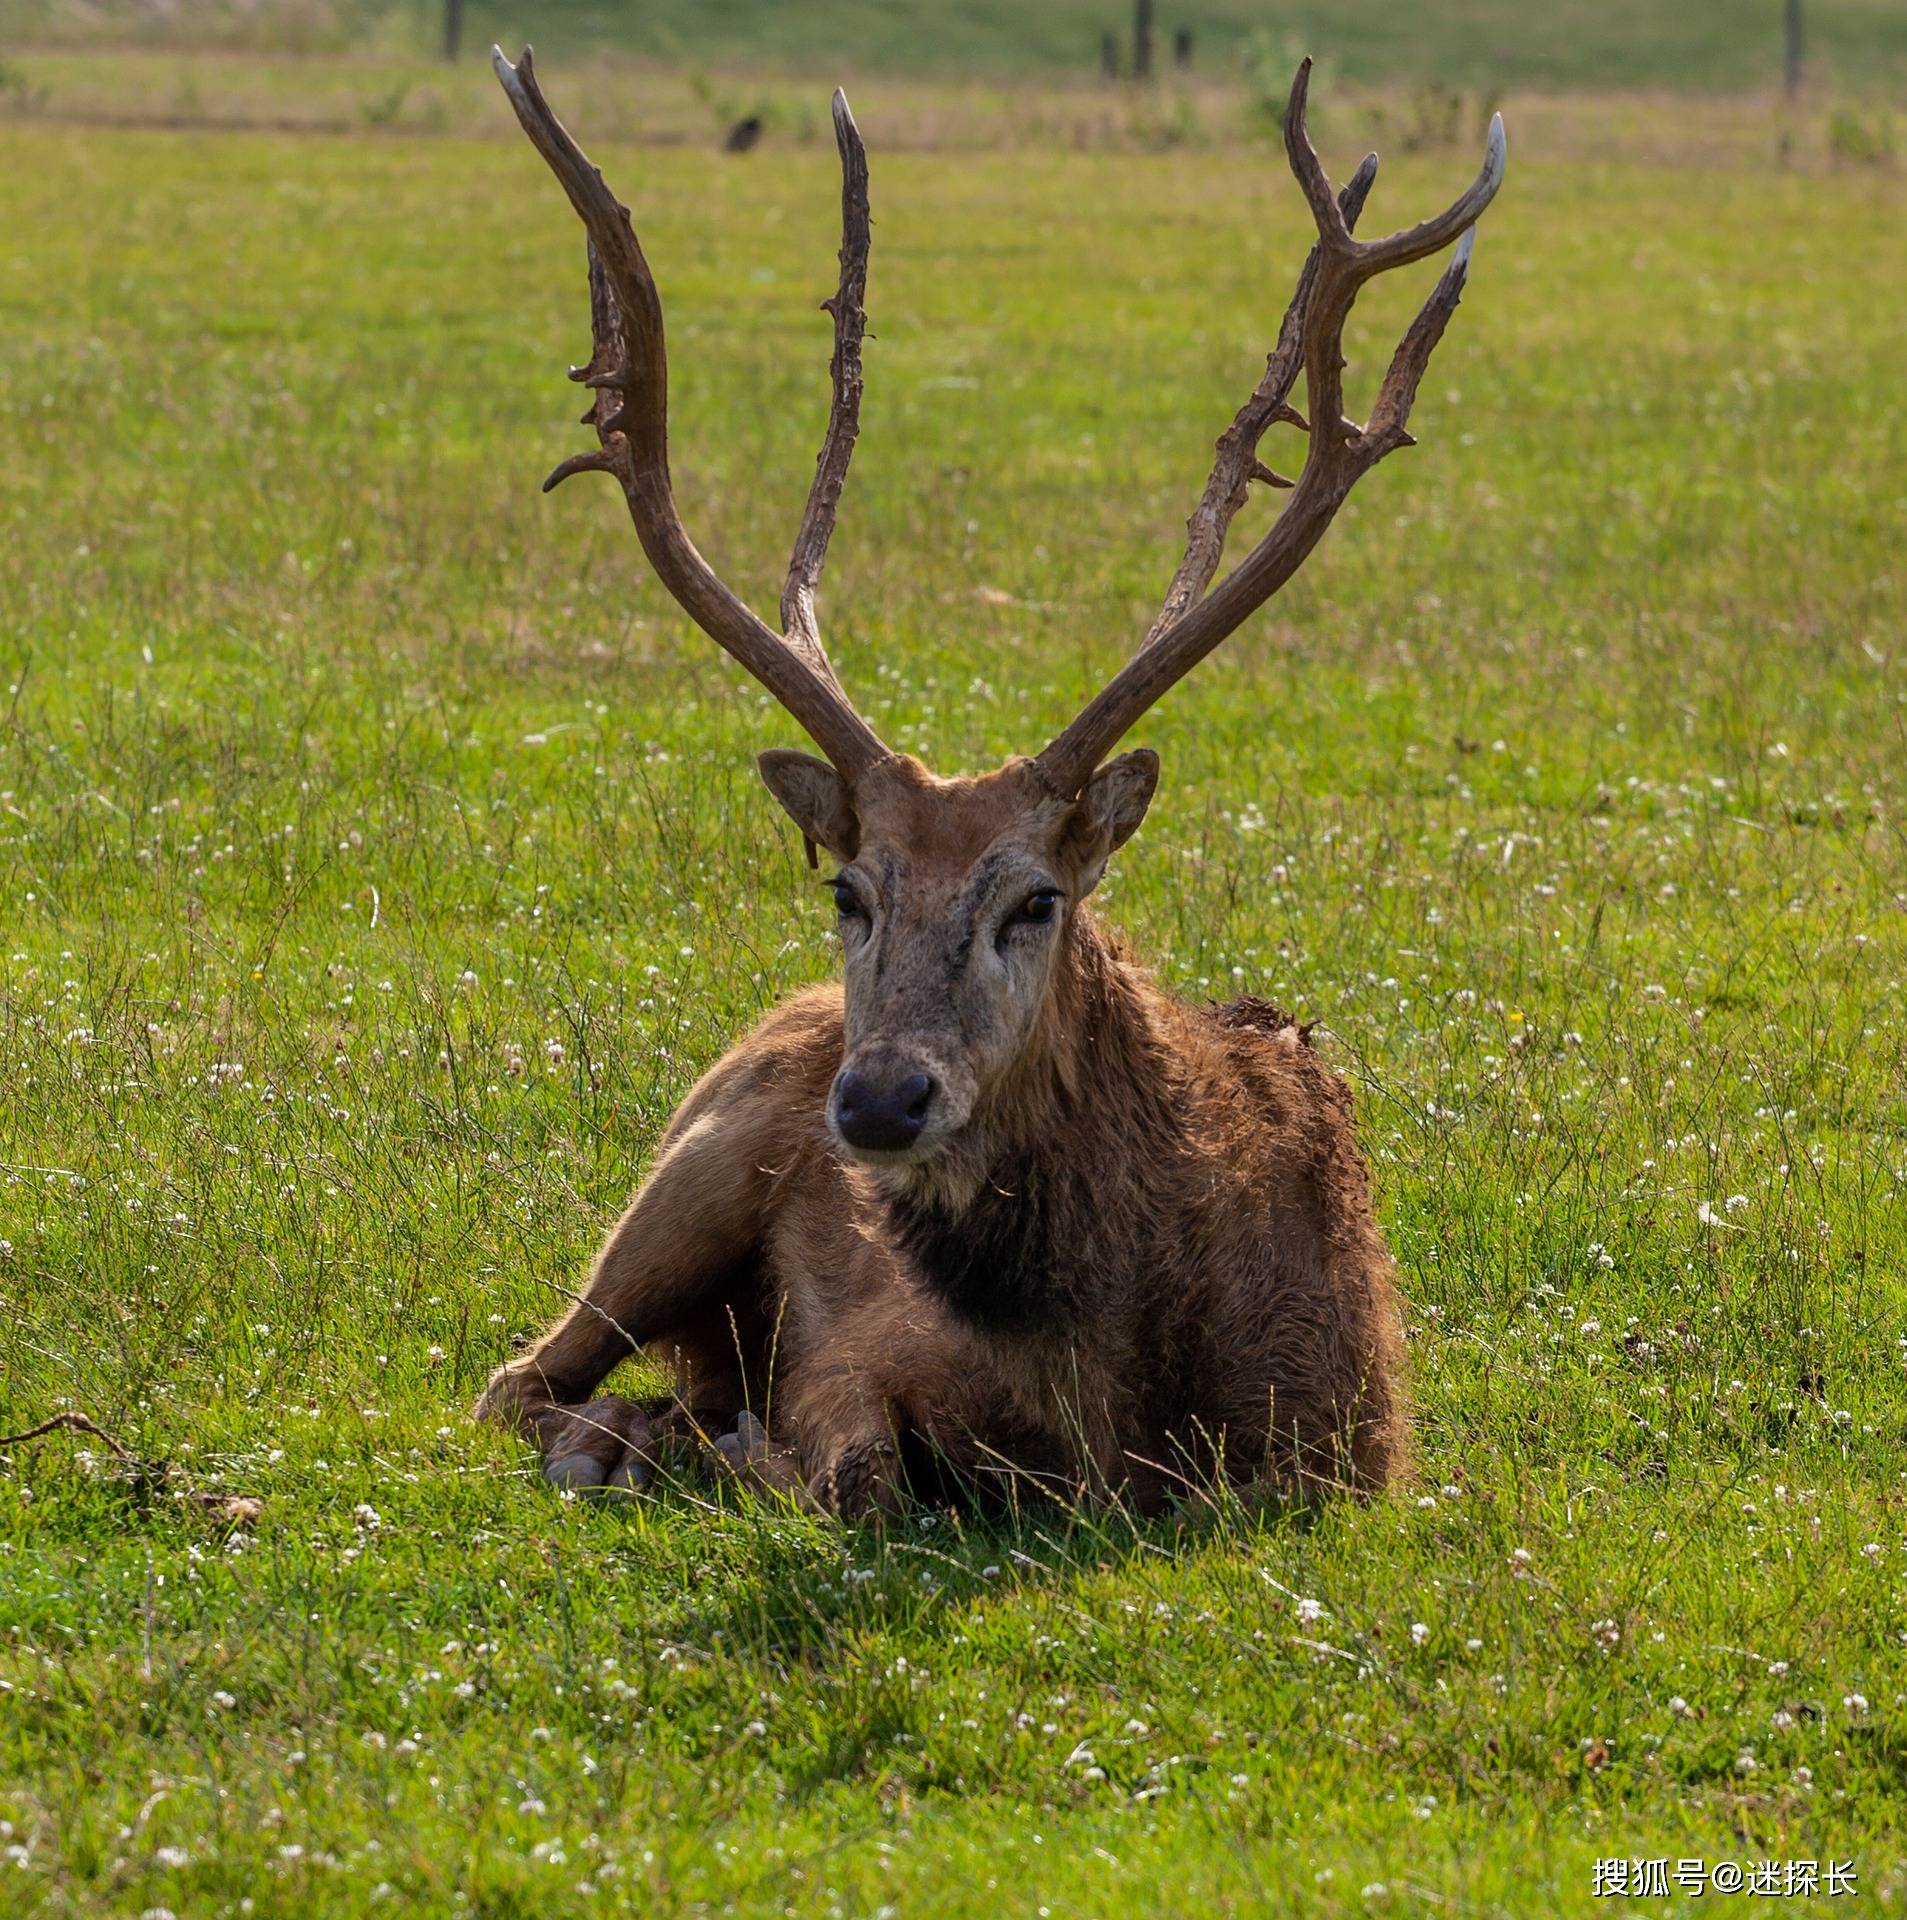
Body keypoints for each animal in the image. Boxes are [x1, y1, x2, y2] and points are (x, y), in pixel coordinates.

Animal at [472, 41, 1505, 1512]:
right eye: (846, 891)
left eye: (1036, 900)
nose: (879, 1099)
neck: (1111, 1408)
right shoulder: (850, 1353)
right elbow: (848, 1465)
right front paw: (698, 1444)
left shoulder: (1349, 1451)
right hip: (687, 1171)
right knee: (518, 1377)